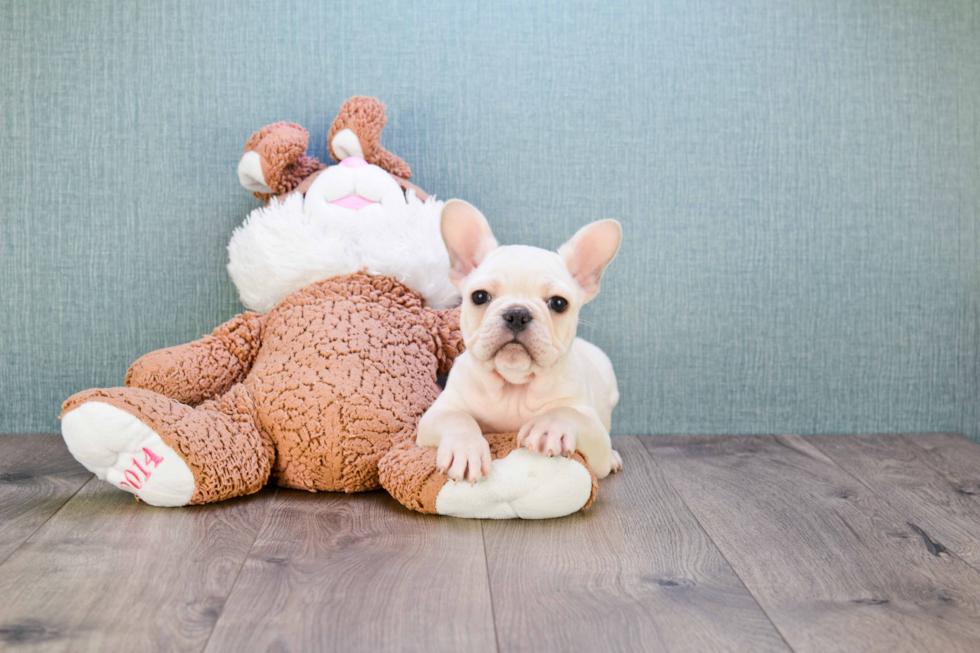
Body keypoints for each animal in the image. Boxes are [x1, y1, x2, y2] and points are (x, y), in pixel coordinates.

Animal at [416, 201, 620, 482]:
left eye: (559, 303)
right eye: (479, 296)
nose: (517, 314)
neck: (514, 387)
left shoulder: (596, 436)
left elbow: (569, 413)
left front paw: (549, 426)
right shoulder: (437, 414)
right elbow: (458, 419)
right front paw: (466, 448)